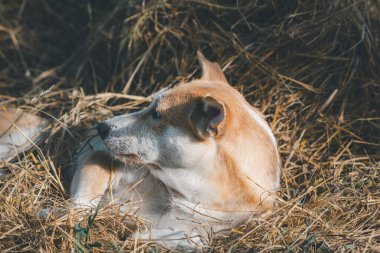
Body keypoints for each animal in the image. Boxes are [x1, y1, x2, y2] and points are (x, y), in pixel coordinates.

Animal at [70, 52, 280, 250]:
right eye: (149, 106)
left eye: (156, 114)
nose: (101, 128)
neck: (185, 191)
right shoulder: (97, 159)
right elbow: (81, 204)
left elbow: (193, 240)